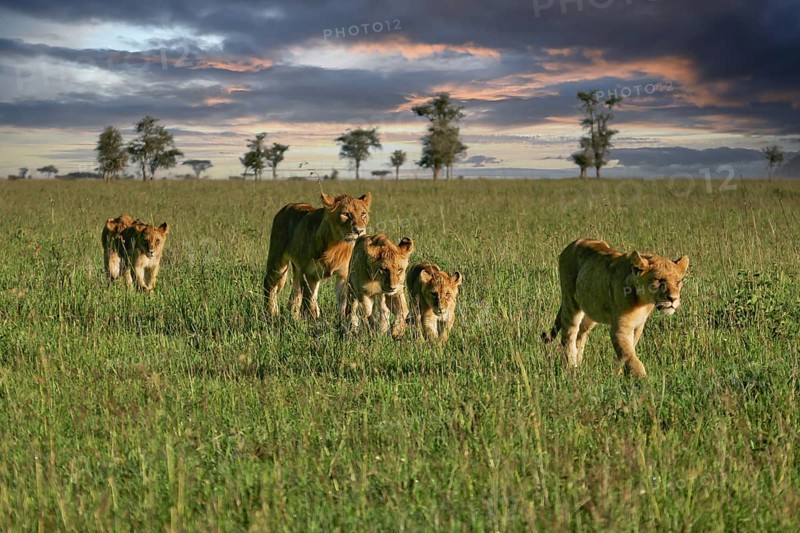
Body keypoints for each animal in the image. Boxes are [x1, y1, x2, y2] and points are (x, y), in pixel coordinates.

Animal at [542, 238, 689, 378]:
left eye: (678, 281)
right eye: (658, 280)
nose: (673, 299)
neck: (643, 302)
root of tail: (572, 243)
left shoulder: (638, 326)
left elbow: (627, 352)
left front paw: (617, 374)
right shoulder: (620, 329)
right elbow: (630, 356)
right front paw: (644, 381)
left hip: (591, 313)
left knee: (580, 335)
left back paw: (579, 365)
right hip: (571, 303)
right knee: (568, 337)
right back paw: (571, 369)